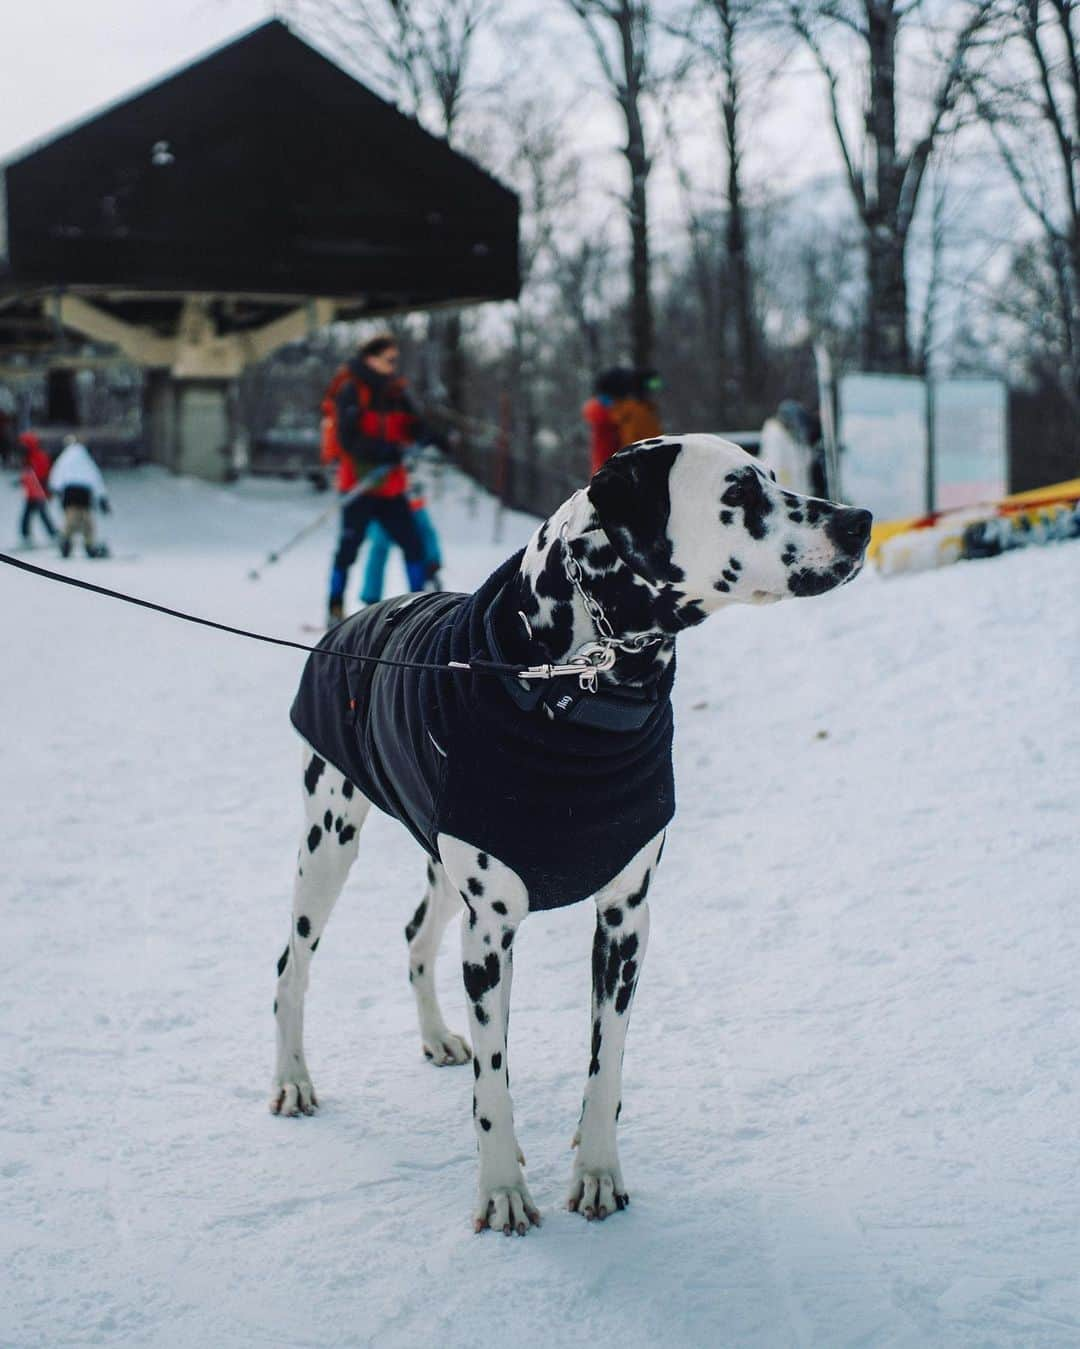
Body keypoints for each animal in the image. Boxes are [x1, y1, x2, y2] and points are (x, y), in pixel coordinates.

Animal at [266, 431, 868, 1235]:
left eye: (775, 476)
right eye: (740, 492)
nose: (860, 521)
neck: (581, 682)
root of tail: (360, 617)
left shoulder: (624, 919)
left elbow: (605, 1062)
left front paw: (598, 1173)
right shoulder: (491, 932)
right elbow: (495, 1082)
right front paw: (500, 1188)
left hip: (439, 864)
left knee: (415, 934)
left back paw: (434, 1035)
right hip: (329, 839)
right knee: (292, 963)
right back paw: (293, 1078)